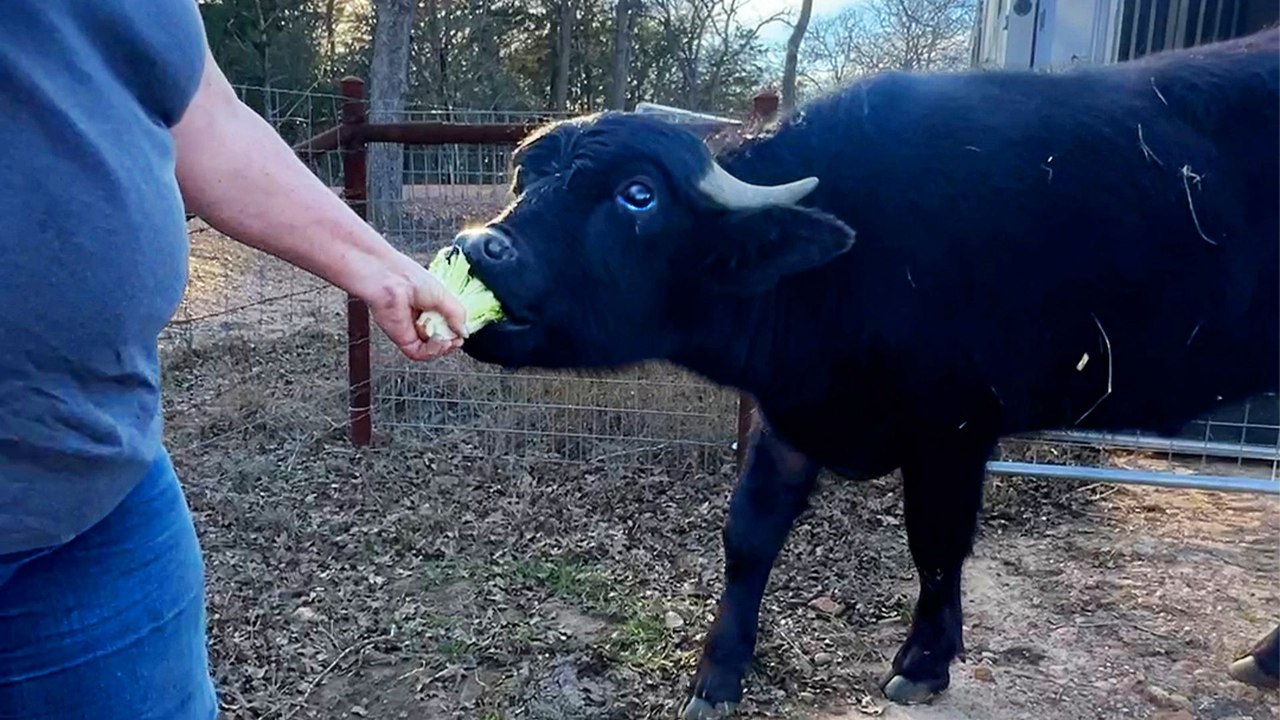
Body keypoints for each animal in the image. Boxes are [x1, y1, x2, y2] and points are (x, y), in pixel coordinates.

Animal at [454, 28, 1280, 716]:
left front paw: (924, 662)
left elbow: (936, 544)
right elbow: (748, 534)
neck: (848, 264)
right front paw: (717, 674)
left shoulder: (955, 430)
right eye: (524, 179)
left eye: (638, 194)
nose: (477, 248)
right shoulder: (791, 413)